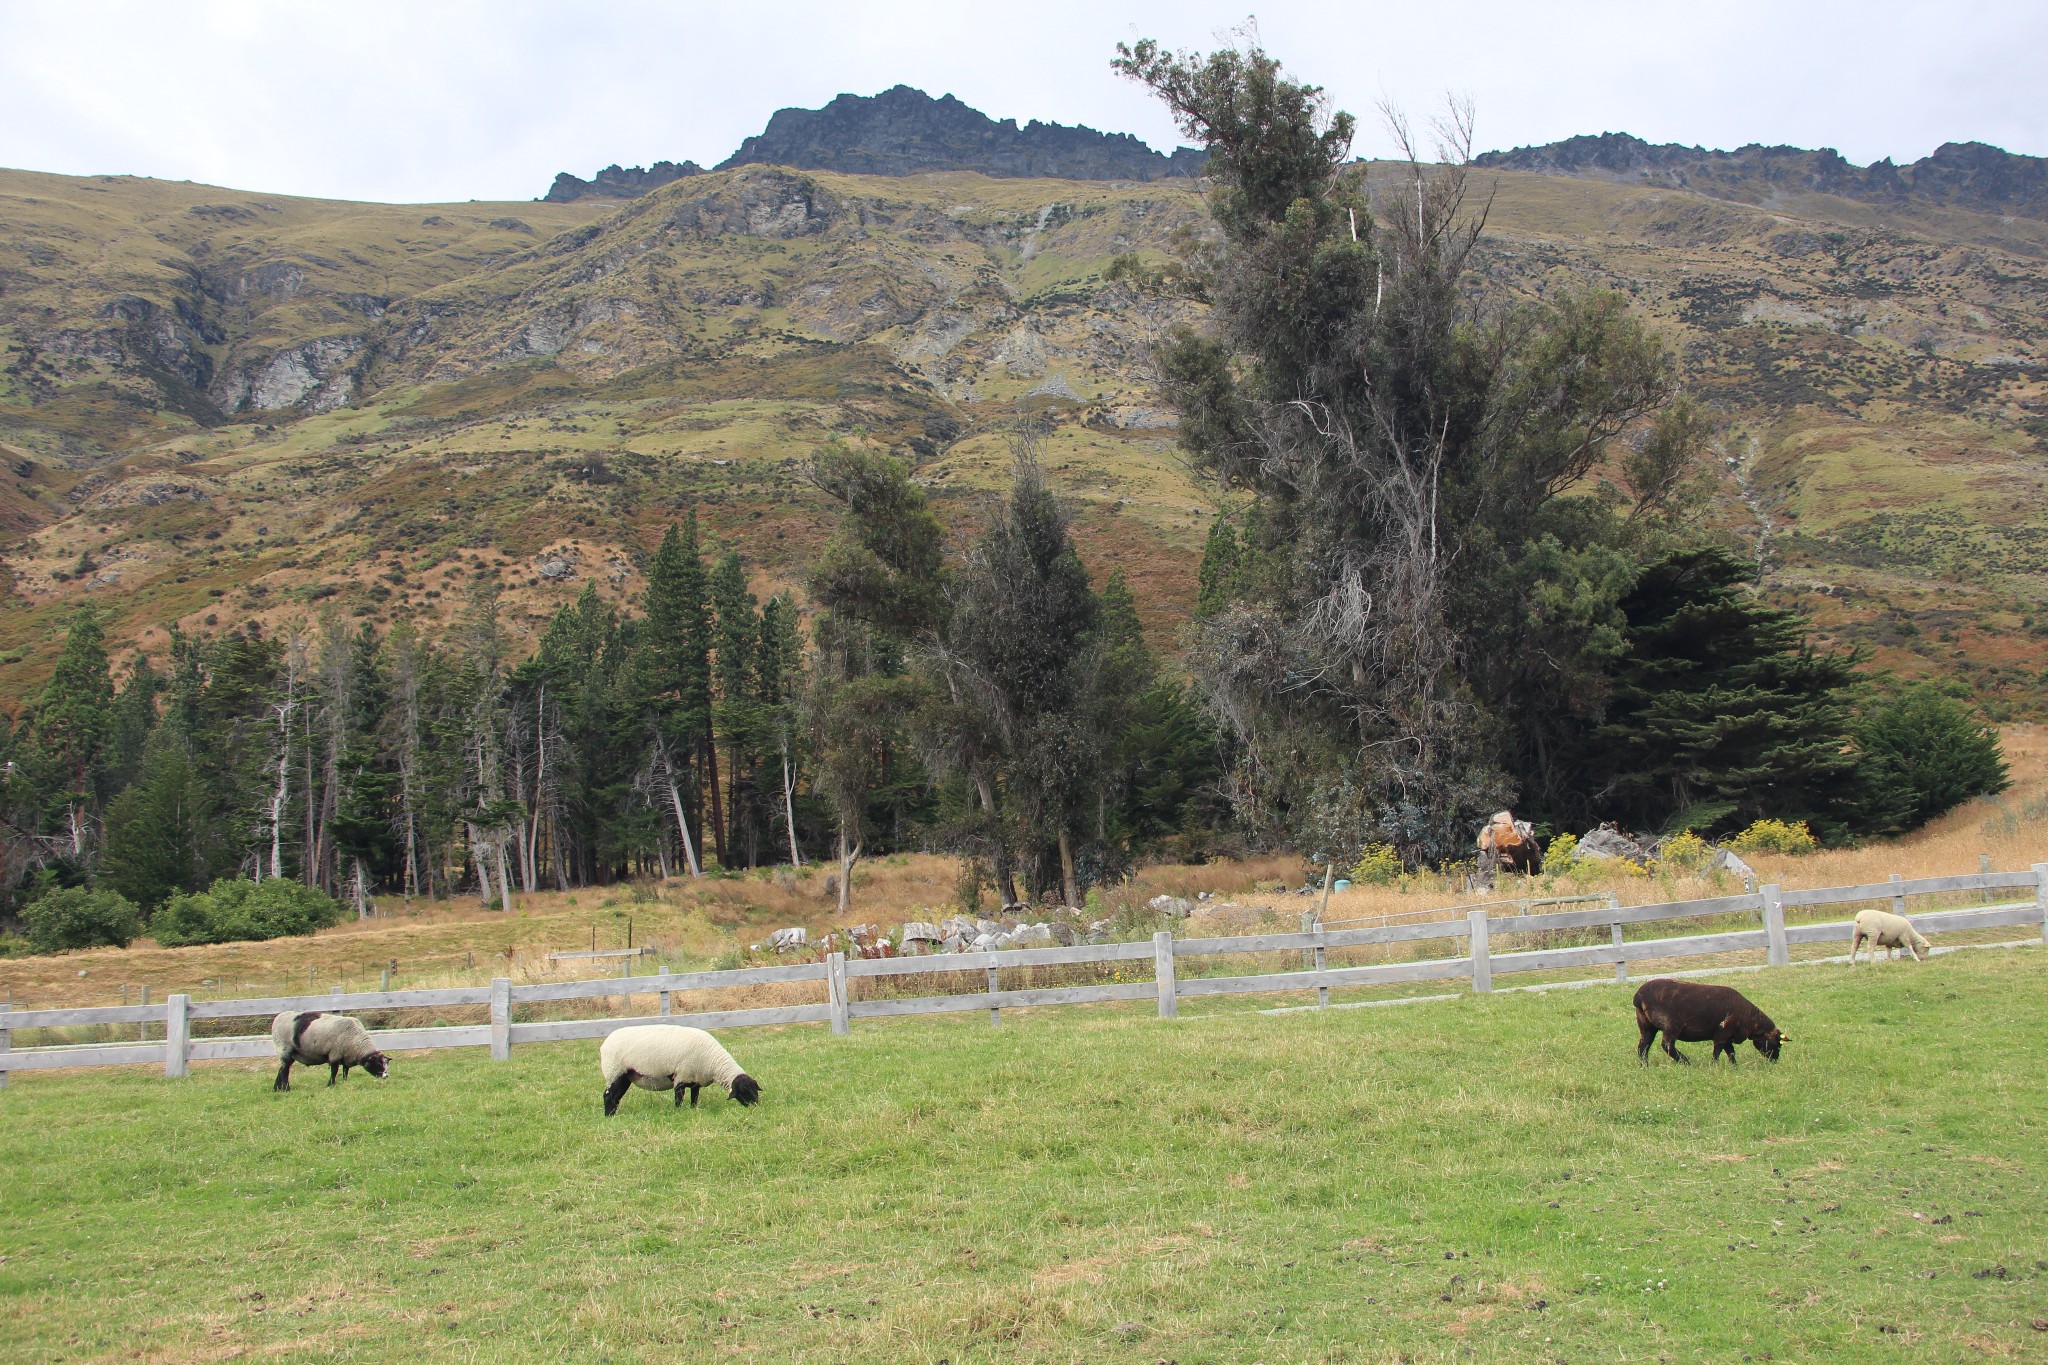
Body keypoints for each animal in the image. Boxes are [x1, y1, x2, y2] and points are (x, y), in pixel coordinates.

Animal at [598, 1031, 765, 1113]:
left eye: (755, 1090)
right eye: (745, 1092)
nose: (756, 1107)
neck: (713, 1062)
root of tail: (605, 1043)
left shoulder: (695, 1079)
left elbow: (694, 1098)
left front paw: (693, 1110)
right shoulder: (681, 1076)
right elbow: (679, 1099)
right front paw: (678, 1113)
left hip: (626, 1076)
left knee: (615, 1097)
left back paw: (613, 1114)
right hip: (615, 1071)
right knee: (608, 1095)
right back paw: (608, 1115)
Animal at [1638, 982, 1785, 1064]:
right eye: (1776, 1044)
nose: (1775, 1061)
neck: (1750, 1019)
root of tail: (1639, 997)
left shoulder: (1728, 1037)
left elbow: (1731, 1052)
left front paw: (1734, 1066)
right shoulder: (1723, 1033)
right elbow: (1717, 1051)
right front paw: (1714, 1066)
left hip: (1646, 1025)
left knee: (1643, 1046)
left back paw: (1644, 1066)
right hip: (1672, 1025)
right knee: (1667, 1045)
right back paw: (1685, 1062)